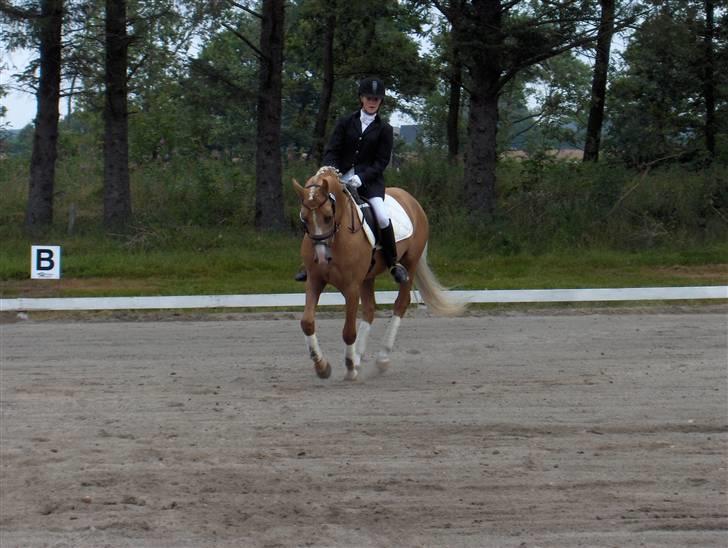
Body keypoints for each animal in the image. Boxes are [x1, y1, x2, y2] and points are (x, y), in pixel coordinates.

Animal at [292, 167, 464, 382]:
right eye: (304, 219)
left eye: (327, 217)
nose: (322, 258)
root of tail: (410, 198)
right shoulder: (315, 281)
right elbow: (307, 322)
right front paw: (322, 367)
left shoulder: (351, 287)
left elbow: (348, 331)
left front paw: (349, 370)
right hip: (368, 277)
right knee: (369, 309)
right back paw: (358, 358)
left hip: (410, 263)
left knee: (401, 303)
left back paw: (381, 359)